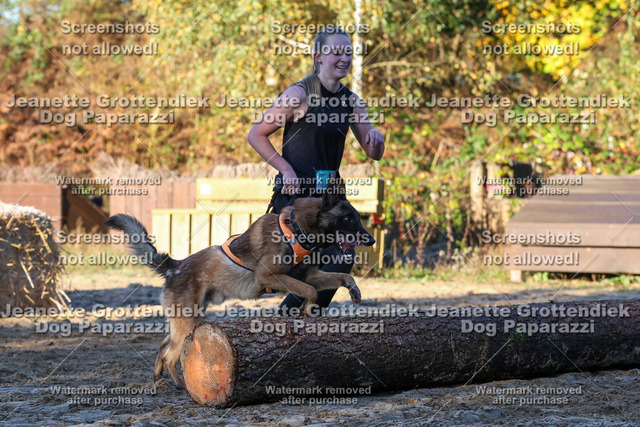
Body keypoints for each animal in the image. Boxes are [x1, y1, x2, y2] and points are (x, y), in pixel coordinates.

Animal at [104, 192, 375, 387]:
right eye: (348, 218)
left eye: (357, 217)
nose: (371, 239)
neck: (296, 229)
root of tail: (175, 265)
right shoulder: (270, 276)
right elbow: (310, 291)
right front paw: (306, 310)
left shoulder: (312, 275)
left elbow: (341, 276)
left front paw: (354, 290)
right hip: (188, 319)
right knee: (170, 354)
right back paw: (179, 384)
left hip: (187, 318)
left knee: (163, 345)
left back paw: (158, 379)